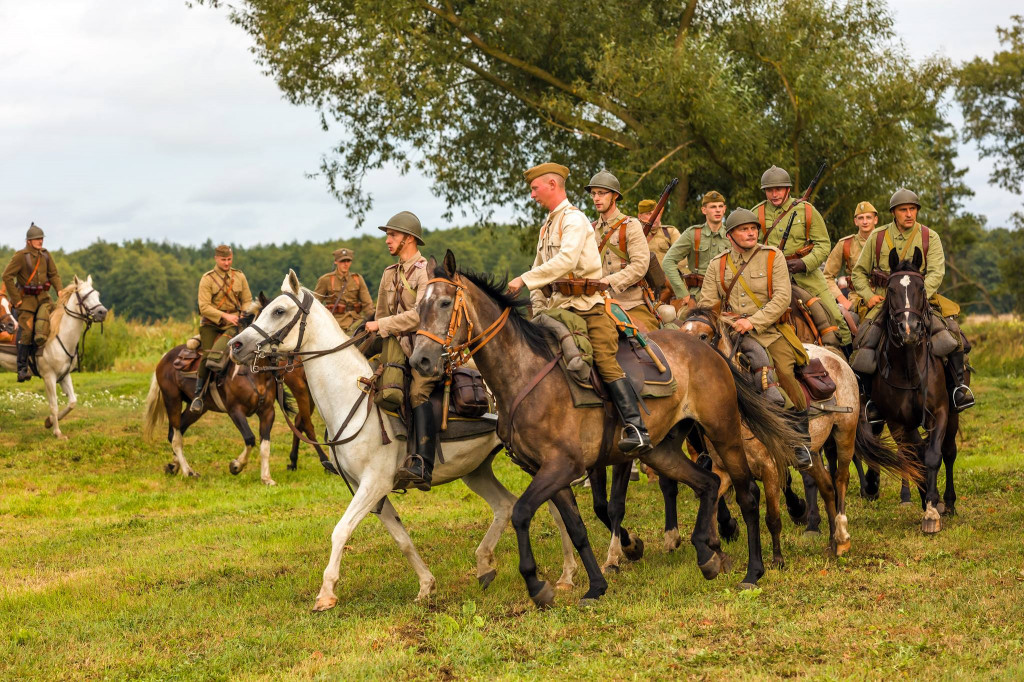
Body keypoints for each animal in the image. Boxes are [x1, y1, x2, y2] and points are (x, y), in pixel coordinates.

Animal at [0, 274, 108, 438]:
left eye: (97, 295)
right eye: (83, 296)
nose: (103, 312)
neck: (59, 335)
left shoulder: (64, 375)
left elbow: (72, 402)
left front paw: (49, 422)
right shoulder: (49, 377)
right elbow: (54, 405)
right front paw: (57, 432)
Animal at [229, 270, 581, 606]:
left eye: (279, 311)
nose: (236, 345)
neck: (355, 401)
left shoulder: (374, 484)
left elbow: (341, 530)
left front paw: (326, 593)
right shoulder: (370, 491)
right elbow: (401, 539)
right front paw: (426, 586)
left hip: (533, 462)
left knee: (555, 508)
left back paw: (568, 574)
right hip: (476, 470)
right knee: (506, 505)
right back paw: (484, 565)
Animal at [407, 249, 806, 606]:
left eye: (444, 303)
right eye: (418, 308)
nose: (420, 360)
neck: (524, 374)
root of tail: (708, 350)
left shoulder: (561, 466)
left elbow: (522, 513)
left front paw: (537, 585)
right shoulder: (551, 473)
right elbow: (578, 528)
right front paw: (595, 586)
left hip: (723, 433)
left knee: (747, 495)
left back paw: (753, 570)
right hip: (662, 451)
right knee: (707, 483)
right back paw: (706, 555)